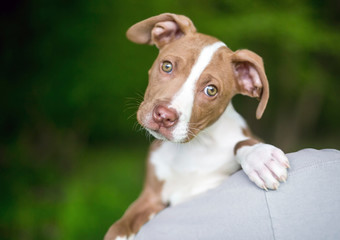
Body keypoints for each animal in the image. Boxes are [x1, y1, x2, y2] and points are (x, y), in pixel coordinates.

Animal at [104, 13, 290, 240]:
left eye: (211, 90)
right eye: (167, 66)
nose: (164, 116)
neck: (194, 147)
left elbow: (241, 142)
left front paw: (261, 157)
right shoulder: (150, 198)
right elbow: (121, 224)